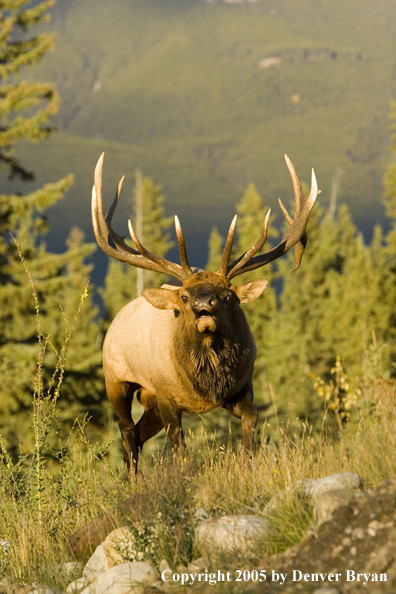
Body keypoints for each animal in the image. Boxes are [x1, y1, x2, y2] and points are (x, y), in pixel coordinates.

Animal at [90, 153, 318, 472]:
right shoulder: (166, 395)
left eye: (227, 295)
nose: (203, 306)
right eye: (185, 297)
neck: (207, 384)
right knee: (126, 431)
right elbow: (179, 447)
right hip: (117, 379)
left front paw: (247, 464)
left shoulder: (242, 385)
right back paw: (134, 477)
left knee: (135, 434)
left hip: (148, 399)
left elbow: (251, 420)